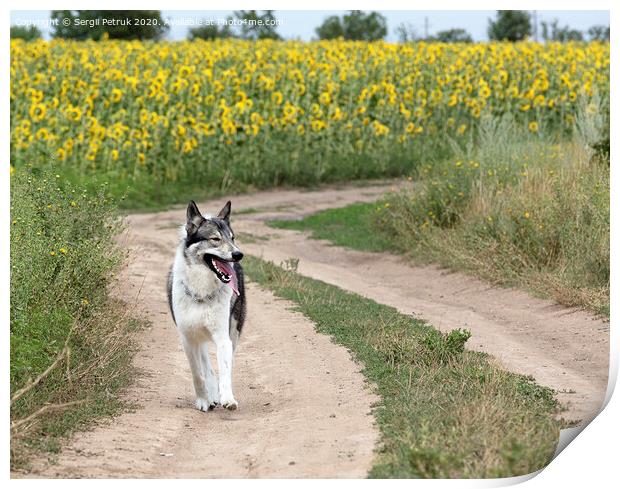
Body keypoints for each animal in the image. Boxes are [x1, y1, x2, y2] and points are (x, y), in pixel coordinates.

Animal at [168, 200, 248, 410]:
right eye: (215, 239)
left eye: (233, 238)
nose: (238, 254)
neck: (201, 293)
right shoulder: (188, 339)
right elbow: (197, 374)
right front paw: (204, 400)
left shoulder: (223, 337)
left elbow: (225, 371)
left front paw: (227, 398)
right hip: (198, 337)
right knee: (205, 365)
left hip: (234, 330)